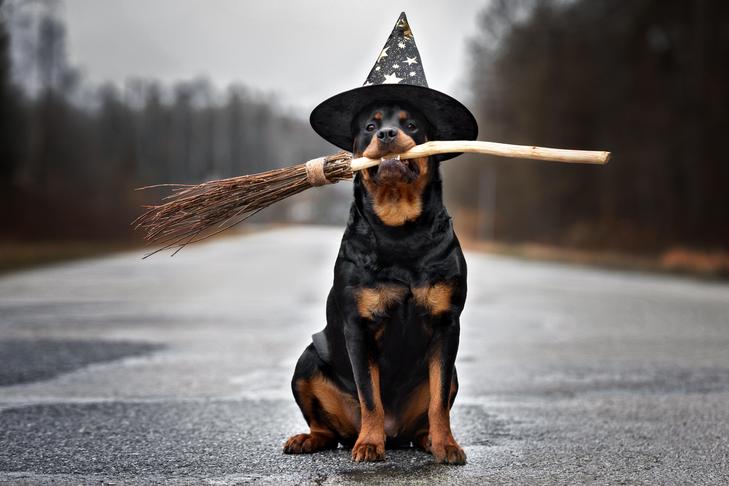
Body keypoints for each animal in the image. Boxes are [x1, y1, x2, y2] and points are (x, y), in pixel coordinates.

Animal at [282, 101, 464, 464]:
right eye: (370, 126)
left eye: (412, 124)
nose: (387, 134)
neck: (399, 228)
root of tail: (396, 436)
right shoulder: (358, 326)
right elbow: (369, 394)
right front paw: (368, 443)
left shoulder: (447, 323)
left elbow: (438, 401)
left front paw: (447, 445)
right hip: (306, 361)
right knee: (325, 428)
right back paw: (309, 439)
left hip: (451, 376)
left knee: (429, 411)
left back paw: (427, 439)